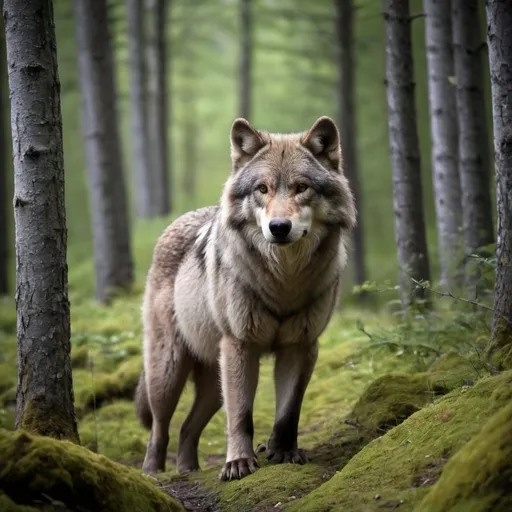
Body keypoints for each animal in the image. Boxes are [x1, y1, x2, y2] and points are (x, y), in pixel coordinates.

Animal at [136, 115, 356, 480]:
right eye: (262, 189)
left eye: (301, 188)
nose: (279, 227)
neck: (284, 280)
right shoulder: (241, 345)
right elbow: (241, 416)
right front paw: (238, 462)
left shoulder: (301, 347)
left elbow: (288, 412)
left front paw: (283, 452)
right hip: (169, 373)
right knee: (159, 428)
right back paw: (152, 474)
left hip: (213, 383)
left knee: (186, 428)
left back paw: (188, 470)